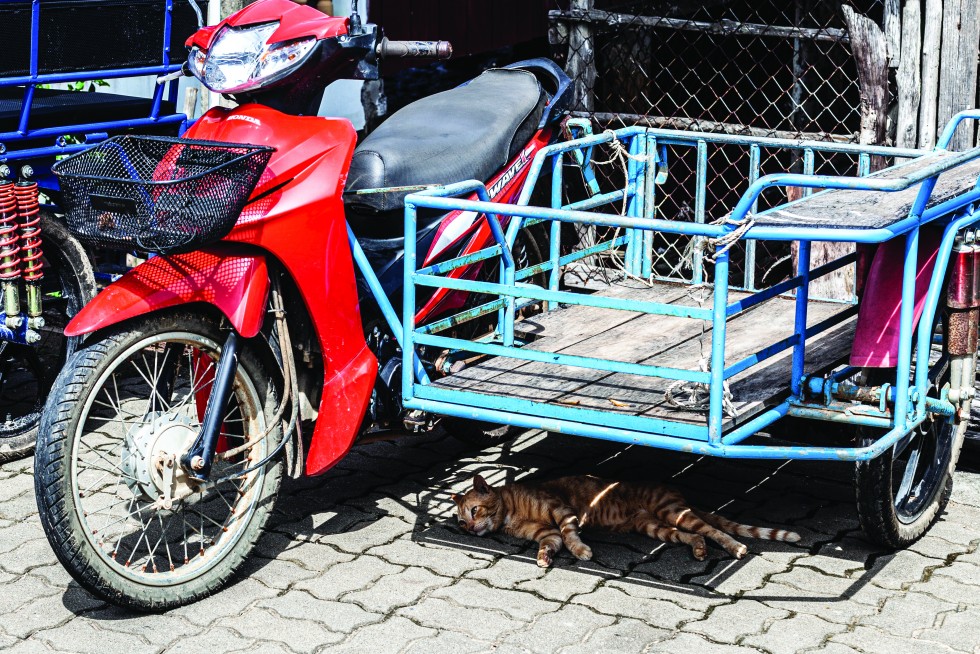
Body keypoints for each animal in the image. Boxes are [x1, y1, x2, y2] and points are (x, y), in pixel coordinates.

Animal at [450, 474, 796, 568]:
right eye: (461, 522)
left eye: (474, 511)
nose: (469, 529)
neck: (509, 513)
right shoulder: (547, 533)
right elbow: (551, 543)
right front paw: (544, 558)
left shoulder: (561, 512)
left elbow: (570, 535)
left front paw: (582, 552)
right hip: (656, 526)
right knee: (691, 535)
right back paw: (698, 550)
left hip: (670, 511)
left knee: (711, 529)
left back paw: (736, 548)